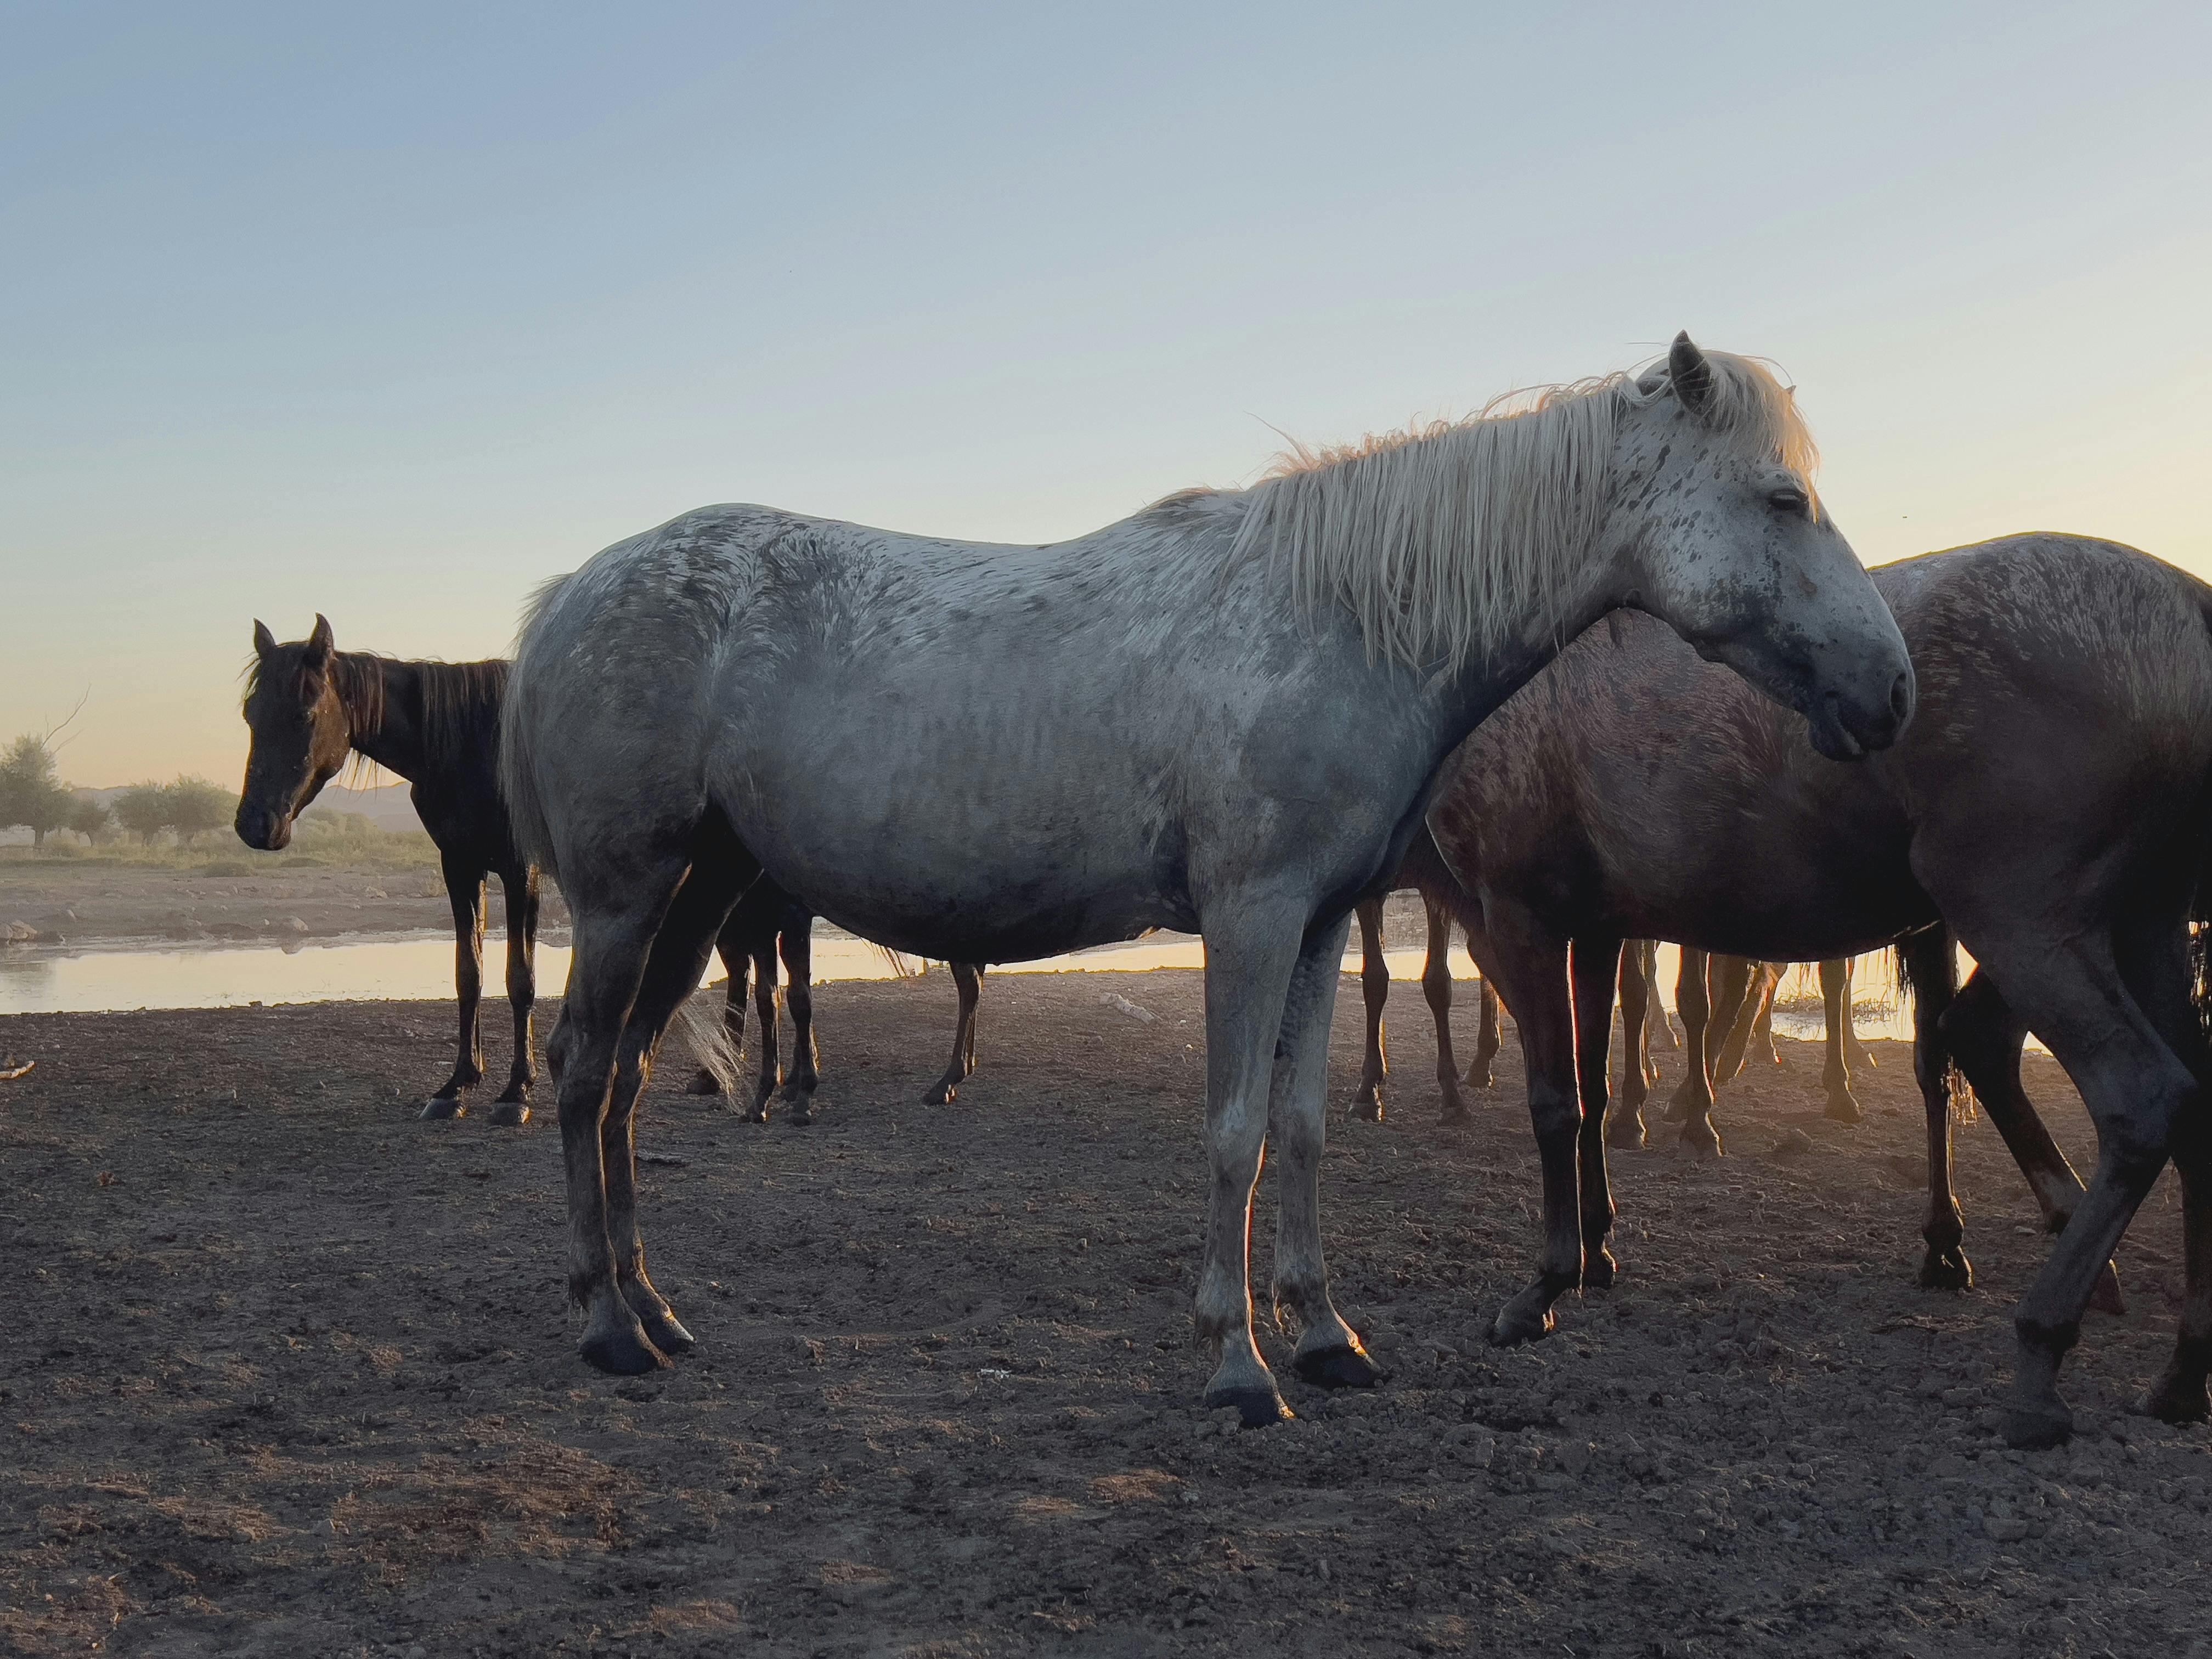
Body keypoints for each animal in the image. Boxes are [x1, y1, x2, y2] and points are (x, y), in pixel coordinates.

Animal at [500, 335, 1912, 1425]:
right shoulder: (1252, 917)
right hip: (628, 901)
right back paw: (603, 1326)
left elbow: (1303, 1125)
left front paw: (1324, 1337)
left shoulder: (1323, 926)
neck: (1343, 618)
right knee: (580, 1073)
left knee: (625, 1079)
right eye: (1782, 501)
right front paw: (1237, 1363)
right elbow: (1234, 1131)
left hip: (695, 899)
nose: (1890, 690)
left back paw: (653, 1308)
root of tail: (578, 592)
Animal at [1415, 534, 2212, 1449]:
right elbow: (1592, 1085)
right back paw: (2184, 1373)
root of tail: (2183, 599)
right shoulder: (1597, 928)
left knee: (2139, 1100)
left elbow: (1555, 1102)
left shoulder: (1522, 920)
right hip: (2146, 928)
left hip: (2031, 928)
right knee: (2193, 1108)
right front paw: (1596, 1248)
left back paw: (2041, 1356)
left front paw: (1544, 1287)